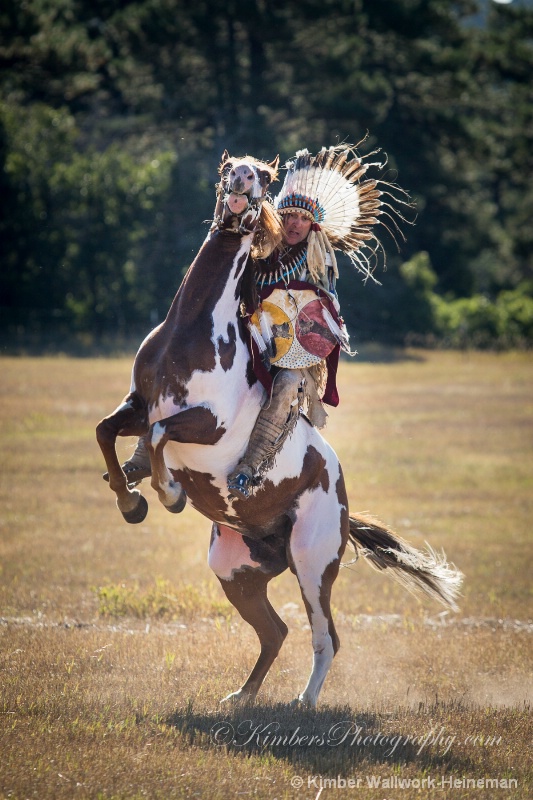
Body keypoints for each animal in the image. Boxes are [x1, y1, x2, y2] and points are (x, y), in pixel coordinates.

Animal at [96, 150, 462, 708]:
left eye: (264, 177)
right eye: (228, 167)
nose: (242, 182)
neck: (191, 331)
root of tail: (344, 501)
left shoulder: (208, 422)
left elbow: (160, 438)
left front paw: (168, 493)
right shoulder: (139, 405)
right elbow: (108, 432)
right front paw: (129, 498)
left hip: (312, 564)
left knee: (325, 635)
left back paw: (305, 701)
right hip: (235, 569)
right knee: (274, 632)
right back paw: (240, 697)